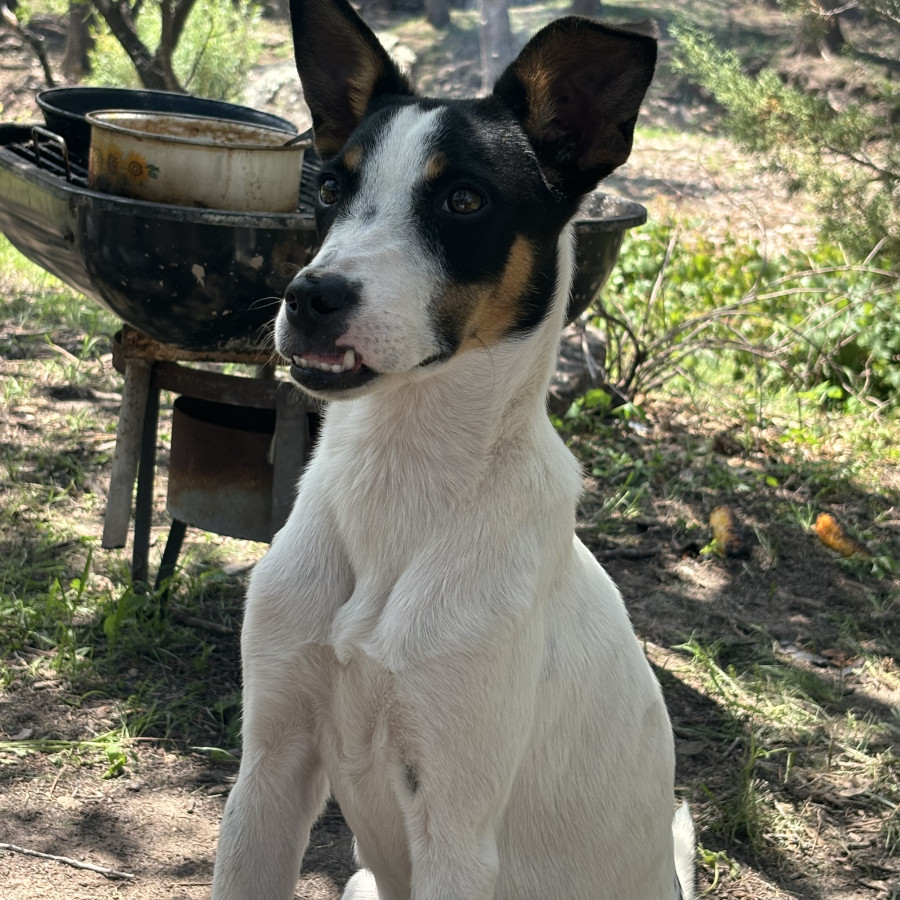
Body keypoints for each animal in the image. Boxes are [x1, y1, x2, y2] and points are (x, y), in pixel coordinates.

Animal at [211, 0, 696, 896]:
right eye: (330, 187)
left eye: (464, 200)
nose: (308, 297)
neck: (401, 477)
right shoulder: (266, 772)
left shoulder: (457, 833)